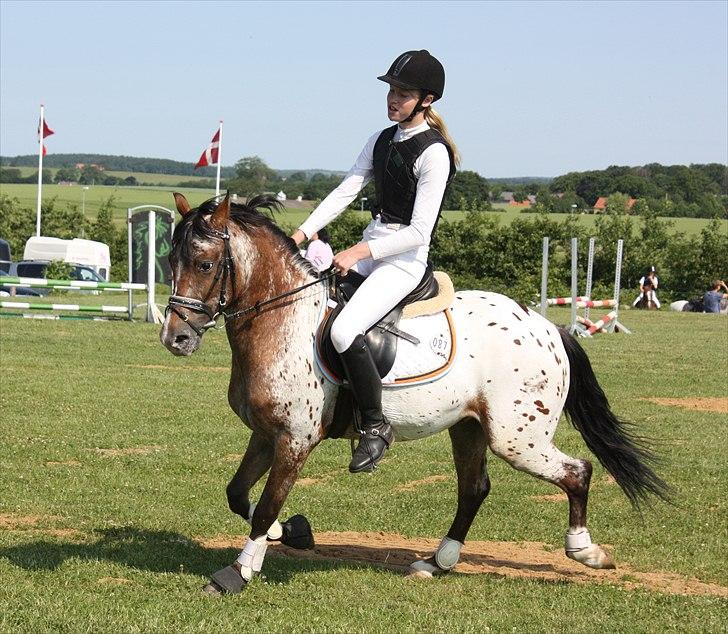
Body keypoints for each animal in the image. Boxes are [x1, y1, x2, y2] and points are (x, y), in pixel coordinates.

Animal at [161, 193, 672, 592]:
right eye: (170, 262)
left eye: (205, 264)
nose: (175, 339)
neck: (282, 320)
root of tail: (549, 328)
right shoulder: (267, 433)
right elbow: (238, 494)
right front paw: (294, 533)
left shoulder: (295, 439)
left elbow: (266, 504)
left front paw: (238, 572)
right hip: (469, 428)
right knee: (474, 489)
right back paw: (436, 561)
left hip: (517, 438)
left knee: (576, 472)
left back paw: (586, 551)